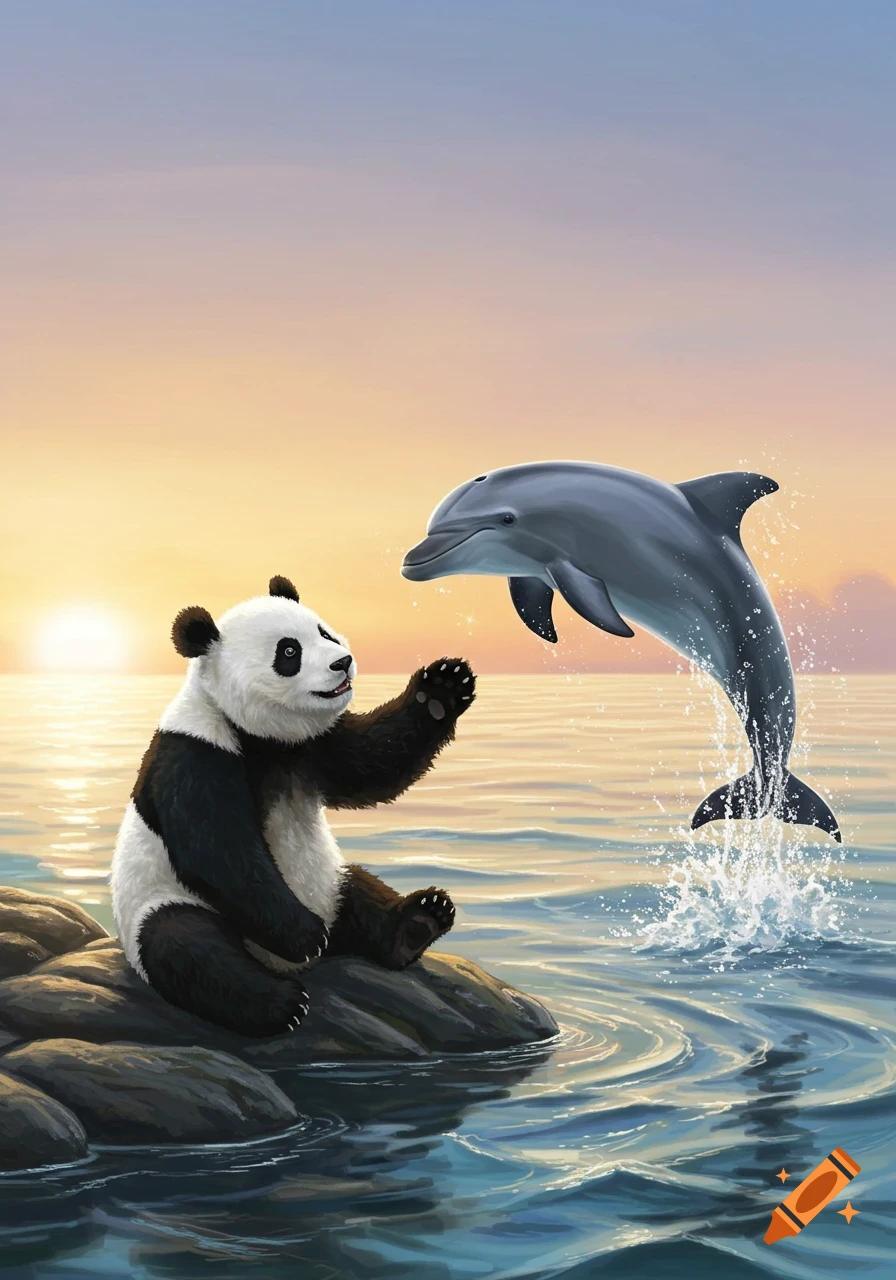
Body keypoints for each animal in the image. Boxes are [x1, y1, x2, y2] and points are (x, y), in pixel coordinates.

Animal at [111, 575, 476, 1038]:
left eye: (325, 632)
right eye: (289, 652)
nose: (343, 662)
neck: (260, 737)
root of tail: (279, 967)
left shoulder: (312, 745)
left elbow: (372, 765)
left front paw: (441, 692)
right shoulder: (197, 753)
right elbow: (219, 850)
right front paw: (303, 936)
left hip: (329, 883)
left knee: (359, 893)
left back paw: (416, 924)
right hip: (162, 902)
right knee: (186, 946)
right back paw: (280, 1003)